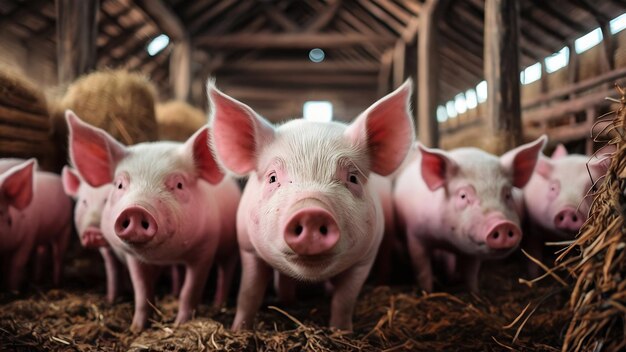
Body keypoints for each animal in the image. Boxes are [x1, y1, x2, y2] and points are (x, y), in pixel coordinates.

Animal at [0, 158, 71, 290]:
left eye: (2, 213)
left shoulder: (29, 236)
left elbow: (17, 264)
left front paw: (13, 290)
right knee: (42, 252)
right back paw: (37, 280)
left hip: (66, 226)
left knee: (58, 254)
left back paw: (56, 284)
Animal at [66, 111, 239, 332]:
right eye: (119, 184)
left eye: (179, 184)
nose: (136, 210)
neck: (165, 255)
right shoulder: (132, 257)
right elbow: (142, 292)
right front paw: (136, 329)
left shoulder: (205, 249)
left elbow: (190, 292)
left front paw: (180, 324)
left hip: (230, 247)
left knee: (226, 271)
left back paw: (218, 303)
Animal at [208, 79, 414, 330]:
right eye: (272, 178)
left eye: (353, 178)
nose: (311, 213)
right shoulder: (247, 247)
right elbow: (249, 294)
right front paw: (239, 329)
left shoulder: (366, 257)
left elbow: (345, 299)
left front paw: (341, 332)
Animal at [392, 136, 544, 292]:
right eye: (463, 196)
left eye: (508, 195)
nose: (502, 224)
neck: (446, 240)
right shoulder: (415, 236)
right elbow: (423, 271)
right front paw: (427, 292)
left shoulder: (472, 250)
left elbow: (471, 273)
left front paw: (475, 292)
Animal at [520, 143, 608, 276]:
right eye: (552, 188)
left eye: (595, 188)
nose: (569, 210)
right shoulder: (533, 227)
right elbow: (533, 251)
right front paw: (533, 274)